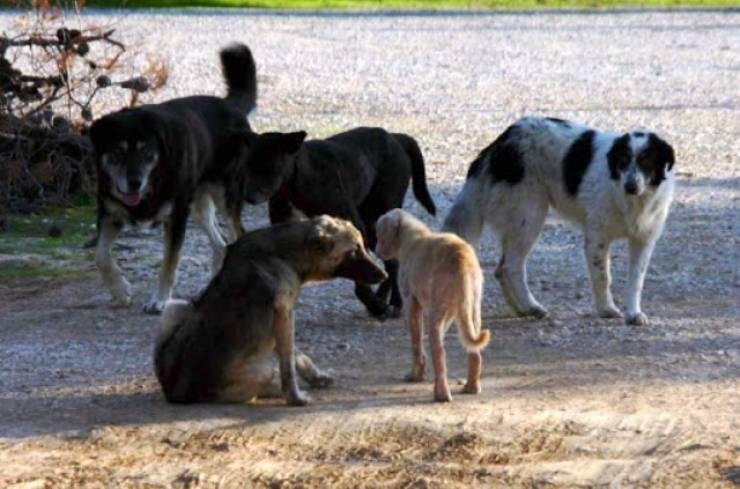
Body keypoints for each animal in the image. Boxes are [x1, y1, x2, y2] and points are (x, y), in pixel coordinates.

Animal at [90, 42, 258, 312]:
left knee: (238, 234)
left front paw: (159, 300)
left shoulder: (176, 217)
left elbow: (169, 263)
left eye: (146, 151)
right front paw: (120, 291)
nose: (134, 183)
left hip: (224, 196)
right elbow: (101, 256)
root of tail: (231, 106)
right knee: (221, 245)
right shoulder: (109, 214)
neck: (153, 182)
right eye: (117, 152)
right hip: (199, 205)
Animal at [156, 215, 388, 406]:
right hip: (260, 371)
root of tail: (176, 392)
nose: (384, 275)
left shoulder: (285, 318)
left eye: (363, 246)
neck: (285, 254)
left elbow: (296, 355)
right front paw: (295, 398)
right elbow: (288, 364)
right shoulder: (284, 315)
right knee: (261, 384)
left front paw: (315, 378)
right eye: (353, 252)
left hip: (177, 306)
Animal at [237, 126, 436, 318]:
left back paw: (395, 303)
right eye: (247, 166)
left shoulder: (354, 228)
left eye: (270, 166)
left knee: (393, 262)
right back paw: (382, 298)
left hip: (376, 218)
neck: (298, 178)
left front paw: (374, 304)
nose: (248, 197)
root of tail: (396, 137)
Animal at [376, 208, 492, 402]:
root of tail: (462, 259)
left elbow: (416, 342)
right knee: (474, 351)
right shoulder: (452, 312)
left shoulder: (411, 302)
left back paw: (441, 394)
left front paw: (415, 375)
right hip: (472, 310)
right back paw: (471, 387)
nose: (376, 252)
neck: (412, 236)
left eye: (378, 234)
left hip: (436, 314)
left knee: (439, 353)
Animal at [442, 115, 680, 324]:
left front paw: (633, 313)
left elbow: (636, 280)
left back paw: (521, 309)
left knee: (500, 269)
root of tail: (501, 142)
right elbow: (603, 276)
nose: (630, 186)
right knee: (511, 266)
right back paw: (531, 306)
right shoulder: (597, 238)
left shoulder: (643, 240)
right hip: (529, 215)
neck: (633, 201)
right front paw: (606, 309)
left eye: (646, 162)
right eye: (623, 160)